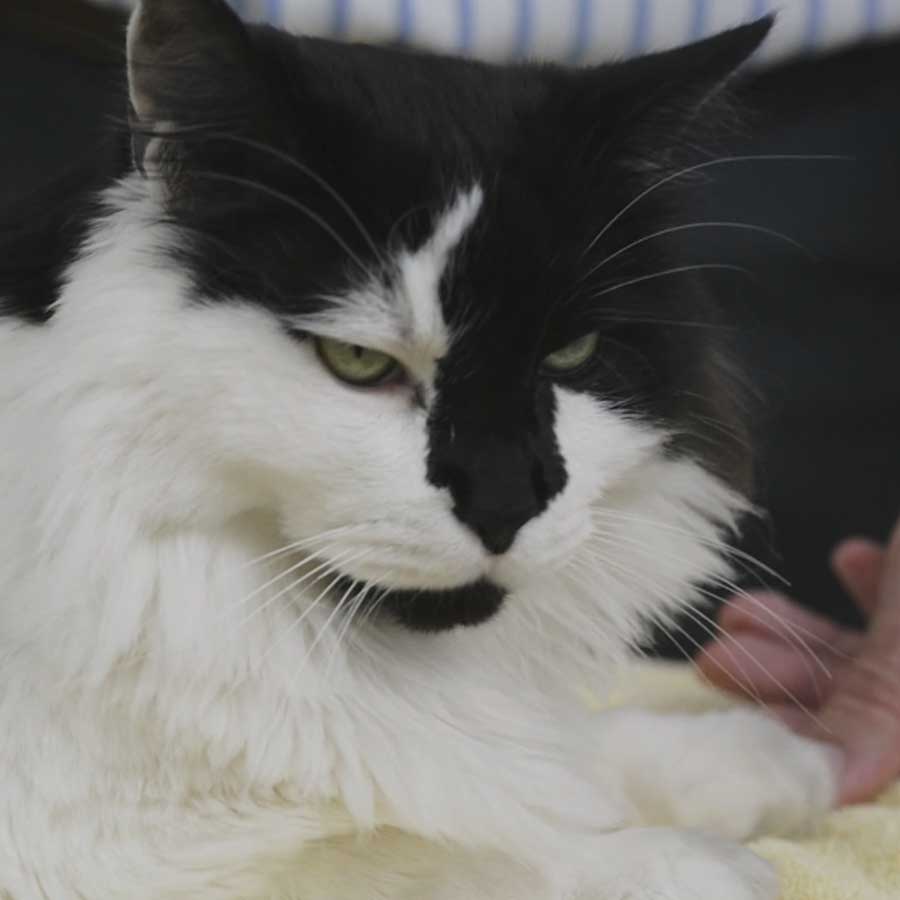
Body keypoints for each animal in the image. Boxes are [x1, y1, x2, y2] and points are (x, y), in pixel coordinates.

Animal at [1, 3, 844, 896]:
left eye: (570, 355)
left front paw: (771, 761)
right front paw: (699, 862)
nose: (506, 503)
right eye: (358, 361)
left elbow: (553, 766)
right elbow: (459, 852)